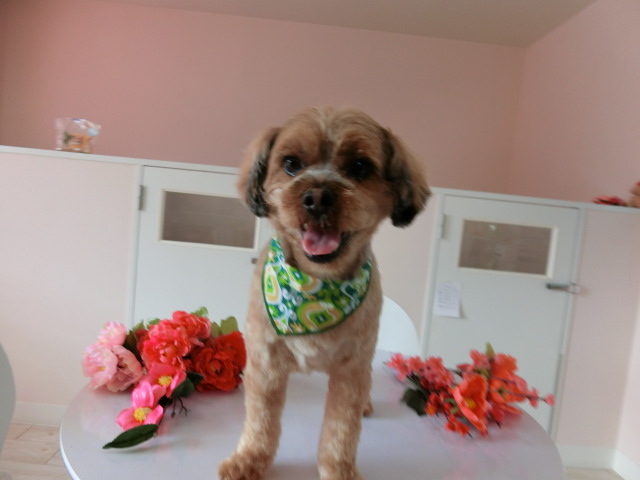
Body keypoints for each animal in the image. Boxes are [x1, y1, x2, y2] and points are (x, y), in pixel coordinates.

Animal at [218, 106, 429, 480]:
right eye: (290, 163)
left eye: (360, 166)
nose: (317, 198)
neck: (316, 284)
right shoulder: (265, 362)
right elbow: (261, 423)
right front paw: (248, 460)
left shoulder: (352, 368)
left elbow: (341, 430)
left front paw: (339, 470)